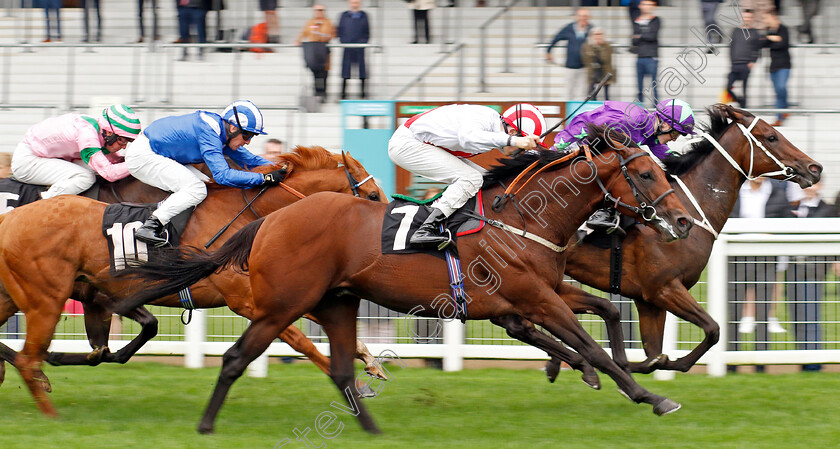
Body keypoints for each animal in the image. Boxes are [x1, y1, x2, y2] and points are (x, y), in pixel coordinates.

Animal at [0, 145, 388, 414]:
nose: (383, 237)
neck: (249, 215)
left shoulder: (271, 295)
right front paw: (354, 387)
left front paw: (370, 361)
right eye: (372, 196)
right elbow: (301, 341)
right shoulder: (246, 301)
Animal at [120, 124, 696, 432]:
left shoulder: (534, 297)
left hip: (331, 300)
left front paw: (617, 371)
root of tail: (271, 218)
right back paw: (207, 423)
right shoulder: (534, 297)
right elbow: (587, 343)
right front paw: (650, 395)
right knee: (242, 356)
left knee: (334, 365)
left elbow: (604, 314)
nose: (683, 220)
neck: (525, 217)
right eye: (646, 173)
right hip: (282, 302)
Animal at [532, 104, 820, 378]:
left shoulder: (648, 301)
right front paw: (668, 363)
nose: (815, 168)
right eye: (772, 137)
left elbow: (654, 353)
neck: (690, 210)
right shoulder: (664, 288)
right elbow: (712, 330)